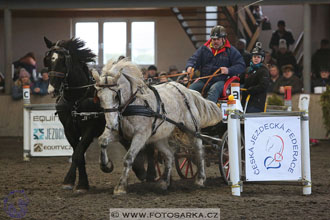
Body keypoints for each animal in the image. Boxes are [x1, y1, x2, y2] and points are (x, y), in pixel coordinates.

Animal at [43, 37, 148, 192]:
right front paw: (81, 183)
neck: (76, 99)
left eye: (63, 60)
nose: (52, 89)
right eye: (48, 60)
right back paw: (141, 171)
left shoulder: (90, 129)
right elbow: (79, 155)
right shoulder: (69, 130)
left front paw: (70, 181)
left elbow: (78, 153)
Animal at [91, 59, 223, 194]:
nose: (112, 124)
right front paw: (106, 165)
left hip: (192, 129)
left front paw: (121, 187)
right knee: (169, 155)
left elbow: (128, 158)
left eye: (116, 96)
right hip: (159, 137)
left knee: (199, 150)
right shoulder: (119, 133)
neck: (133, 103)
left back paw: (200, 179)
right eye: (99, 97)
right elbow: (102, 141)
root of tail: (187, 91)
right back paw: (164, 183)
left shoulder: (141, 135)